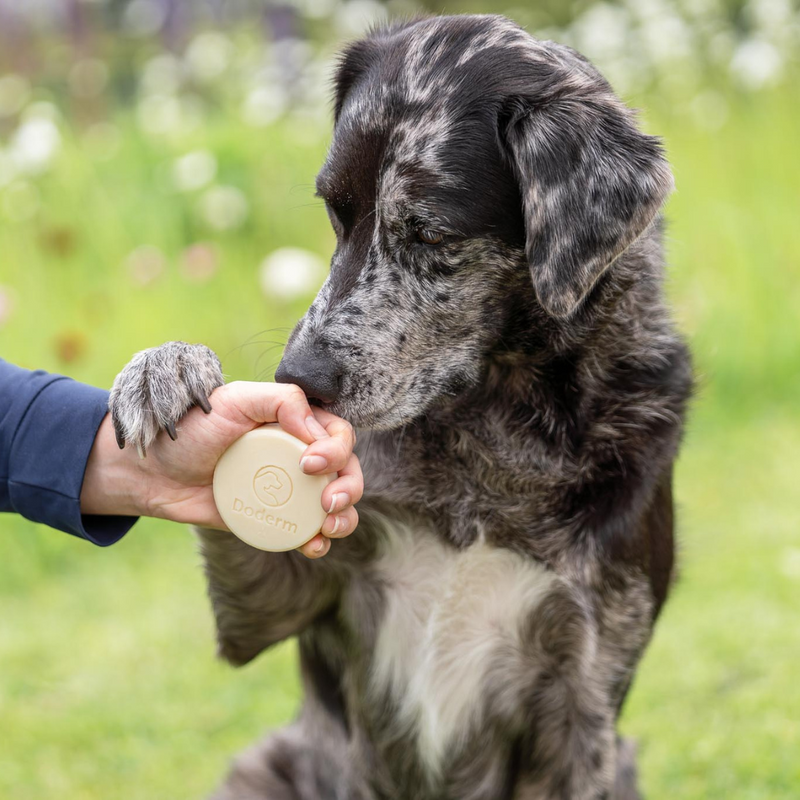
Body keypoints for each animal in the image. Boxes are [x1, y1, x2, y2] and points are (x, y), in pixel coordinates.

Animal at [111, 14, 692, 800]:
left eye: (431, 234)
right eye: (335, 210)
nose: (299, 378)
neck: (489, 424)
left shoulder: (586, 693)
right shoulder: (276, 604)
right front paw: (166, 368)